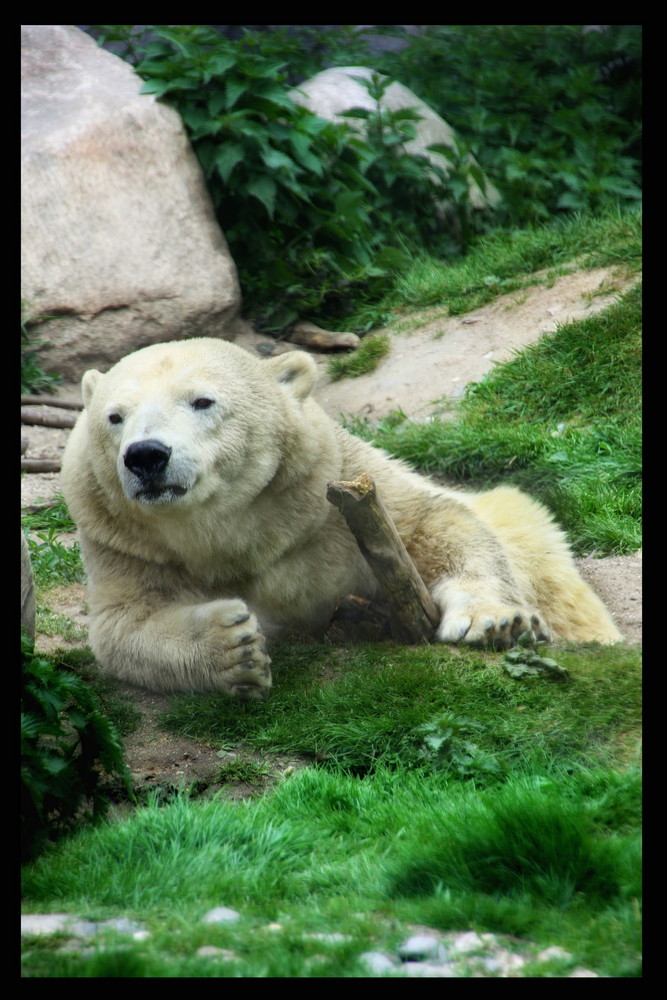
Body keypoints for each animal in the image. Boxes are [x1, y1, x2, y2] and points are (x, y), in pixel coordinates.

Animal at [60, 336, 624, 696]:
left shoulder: (330, 483)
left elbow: (433, 523)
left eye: (202, 400)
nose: (146, 456)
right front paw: (233, 647)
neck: (233, 529)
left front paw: (495, 620)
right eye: (114, 417)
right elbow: (123, 624)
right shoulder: (122, 540)